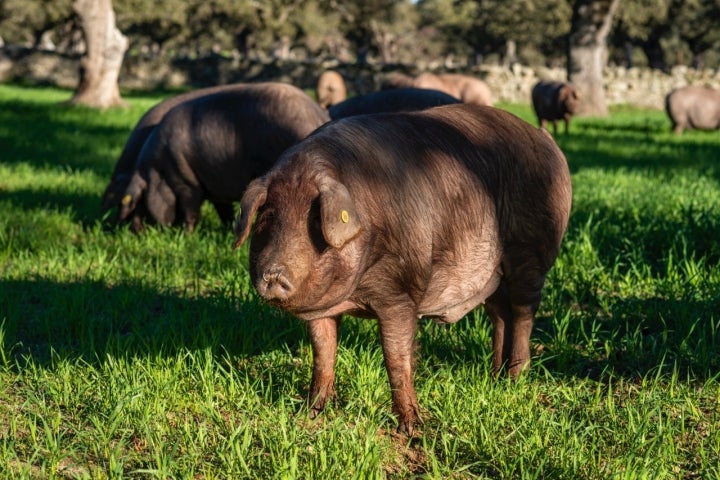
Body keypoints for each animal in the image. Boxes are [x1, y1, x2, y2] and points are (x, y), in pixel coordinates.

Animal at [116, 81, 330, 232]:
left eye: (141, 201)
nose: (134, 230)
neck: (159, 172)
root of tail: (317, 114)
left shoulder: (187, 183)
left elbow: (191, 211)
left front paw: (188, 234)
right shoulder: (214, 187)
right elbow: (224, 211)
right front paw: (227, 229)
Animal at [233, 104, 572, 436]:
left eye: (315, 220)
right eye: (269, 216)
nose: (273, 275)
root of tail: (546, 140)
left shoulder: (400, 292)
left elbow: (396, 358)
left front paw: (411, 429)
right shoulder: (322, 308)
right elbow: (323, 351)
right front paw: (312, 412)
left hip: (531, 252)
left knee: (524, 313)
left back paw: (516, 377)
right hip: (493, 276)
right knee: (500, 315)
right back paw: (494, 376)